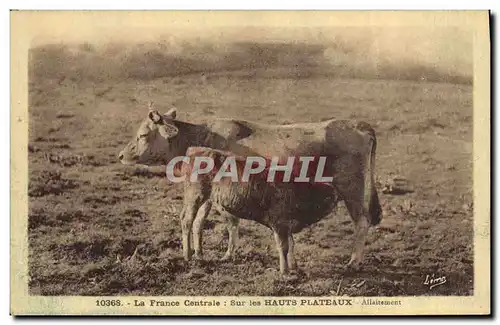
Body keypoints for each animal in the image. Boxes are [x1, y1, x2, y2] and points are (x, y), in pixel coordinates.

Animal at [118, 106, 382, 268]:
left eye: (143, 135)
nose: (121, 155)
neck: (203, 137)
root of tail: (360, 124)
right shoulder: (209, 193)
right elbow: (200, 221)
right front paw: (199, 253)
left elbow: (230, 222)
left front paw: (227, 253)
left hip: (352, 187)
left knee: (362, 221)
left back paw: (354, 261)